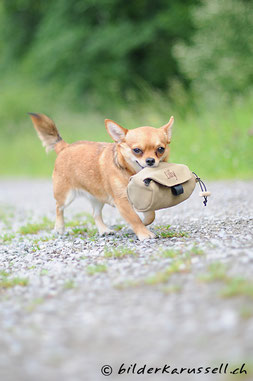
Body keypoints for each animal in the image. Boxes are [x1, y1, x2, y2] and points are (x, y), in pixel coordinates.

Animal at [28, 111, 174, 239]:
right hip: (65, 196)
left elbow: (151, 215)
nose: (150, 160)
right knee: (59, 208)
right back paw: (59, 228)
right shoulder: (122, 201)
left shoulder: (142, 199)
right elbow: (134, 218)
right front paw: (143, 233)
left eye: (160, 149)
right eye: (137, 150)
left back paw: (103, 230)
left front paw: (144, 223)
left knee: (95, 214)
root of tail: (65, 147)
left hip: (97, 198)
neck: (132, 173)